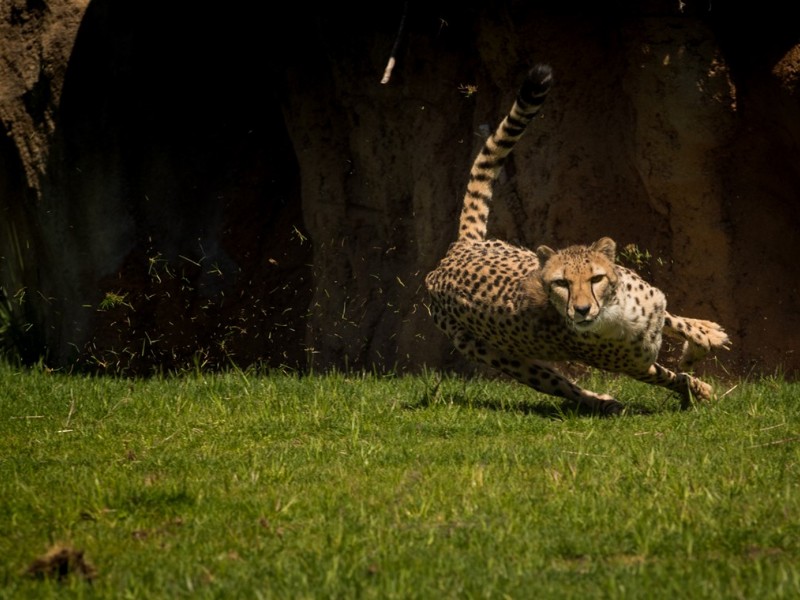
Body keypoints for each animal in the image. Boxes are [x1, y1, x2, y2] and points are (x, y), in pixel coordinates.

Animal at [424, 64, 732, 412]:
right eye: (561, 283)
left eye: (596, 278)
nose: (582, 310)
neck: (615, 310)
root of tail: (457, 252)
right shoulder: (636, 367)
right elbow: (669, 376)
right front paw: (699, 387)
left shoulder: (649, 303)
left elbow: (674, 320)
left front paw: (704, 338)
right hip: (501, 358)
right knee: (560, 385)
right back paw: (604, 402)